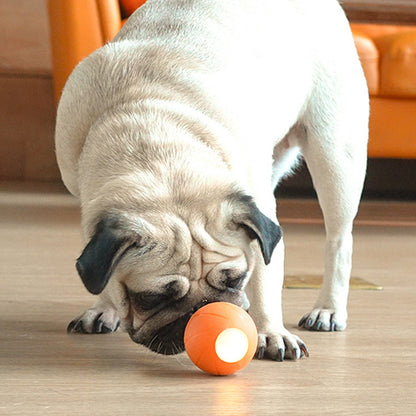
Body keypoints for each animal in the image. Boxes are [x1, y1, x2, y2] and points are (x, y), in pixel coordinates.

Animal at [55, 0, 368, 360]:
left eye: (235, 280)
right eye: (150, 298)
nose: (202, 311)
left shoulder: (256, 212)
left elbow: (265, 275)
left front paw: (270, 331)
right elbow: (101, 269)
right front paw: (104, 307)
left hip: (335, 155)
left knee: (339, 240)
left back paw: (328, 309)